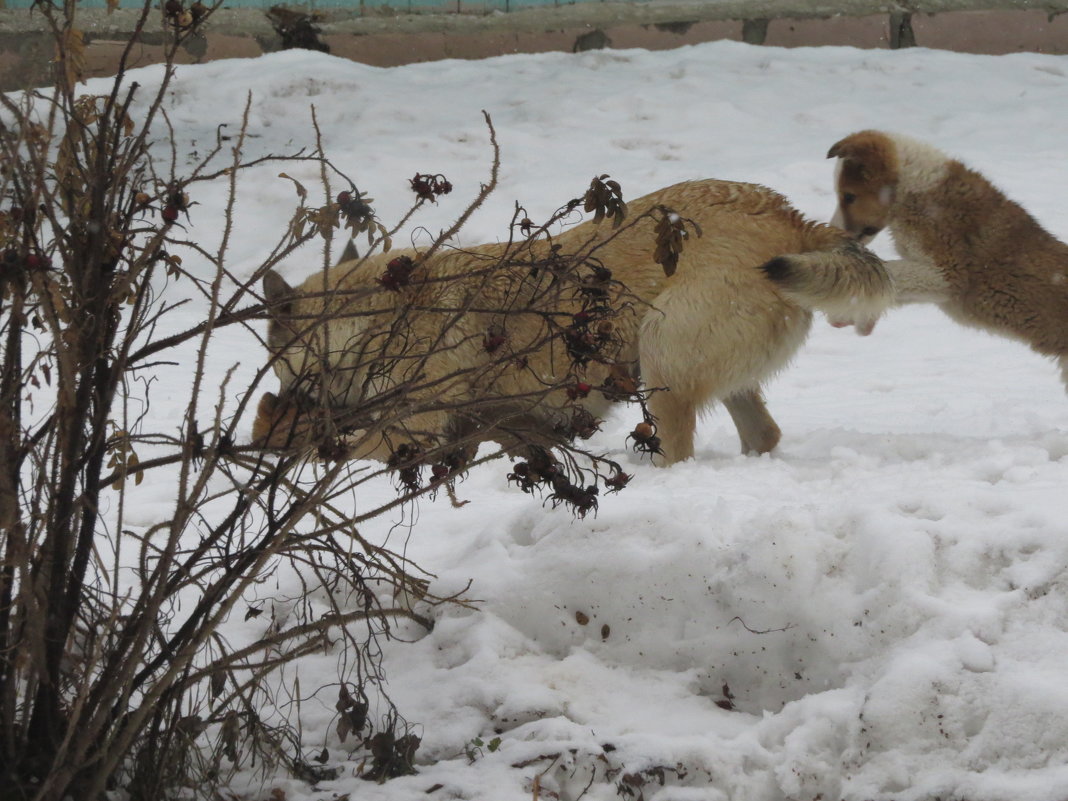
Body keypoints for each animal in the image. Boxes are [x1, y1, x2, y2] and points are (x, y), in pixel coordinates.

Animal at [256, 177, 892, 463]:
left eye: (277, 366)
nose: (275, 408)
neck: (376, 318)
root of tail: (793, 220)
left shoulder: (409, 429)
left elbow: (334, 456)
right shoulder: (510, 427)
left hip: (660, 358)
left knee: (679, 451)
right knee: (762, 434)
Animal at [815, 131, 1068, 388]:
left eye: (849, 196)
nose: (833, 235)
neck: (910, 188)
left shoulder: (947, 274)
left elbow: (892, 271)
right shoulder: (934, 285)